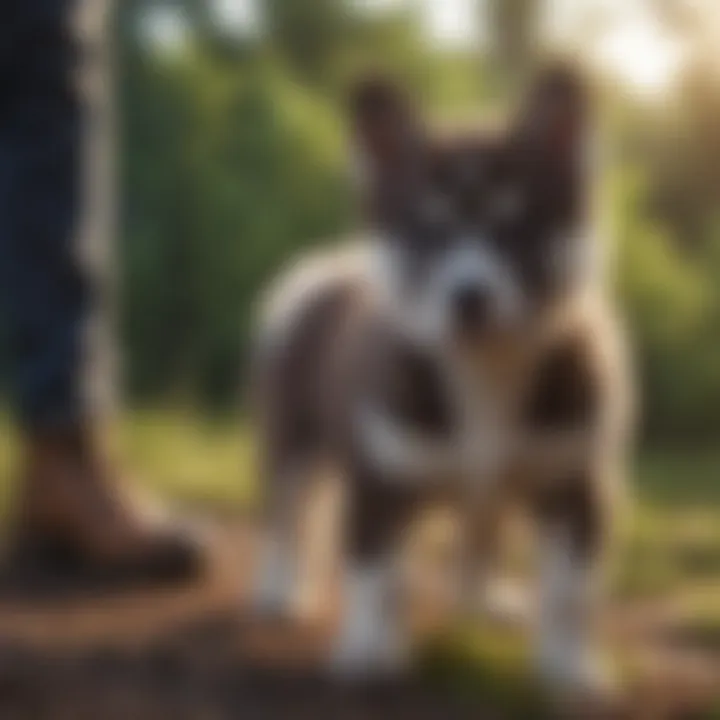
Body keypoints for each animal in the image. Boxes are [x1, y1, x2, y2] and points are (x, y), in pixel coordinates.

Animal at [250, 64, 632, 696]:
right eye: (427, 232)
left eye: (515, 230)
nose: (469, 299)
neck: (484, 370)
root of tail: (330, 265)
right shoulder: (380, 481)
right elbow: (375, 576)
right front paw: (365, 653)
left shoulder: (572, 481)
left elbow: (568, 595)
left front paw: (569, 673)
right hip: (292, 441)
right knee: (285, 516)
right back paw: (278, 592)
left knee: (480, 537)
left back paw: (484, 600)